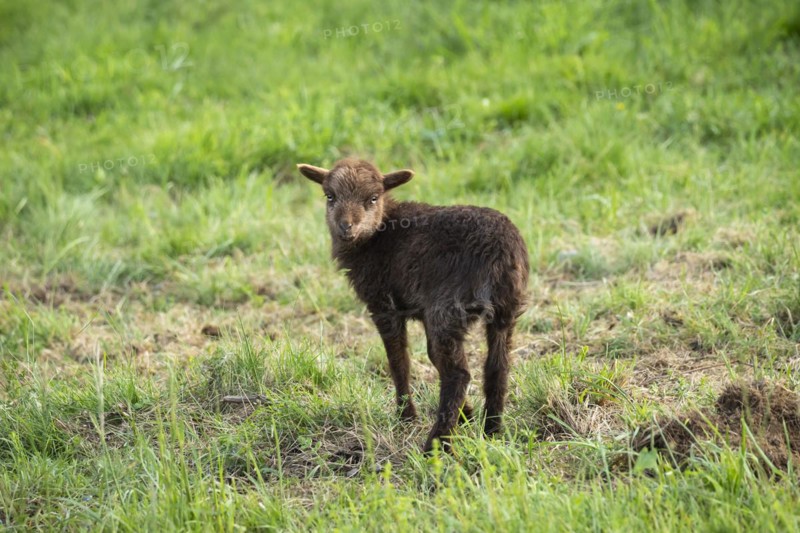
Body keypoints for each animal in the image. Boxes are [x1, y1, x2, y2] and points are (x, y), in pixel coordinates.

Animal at [297, 158, 529, 452]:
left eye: (373, 198)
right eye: (330, 196)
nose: (346, 227)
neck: (378, 234)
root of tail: (501, 253)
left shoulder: (384, 305)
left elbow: (398, 361)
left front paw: (406, 416)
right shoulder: (423, 311)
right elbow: (431, 356)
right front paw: (466, 414)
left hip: (448, 307)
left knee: (458, 374)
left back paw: (437, 443)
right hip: (505, 309)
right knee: (498, 366)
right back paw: (492, 429)